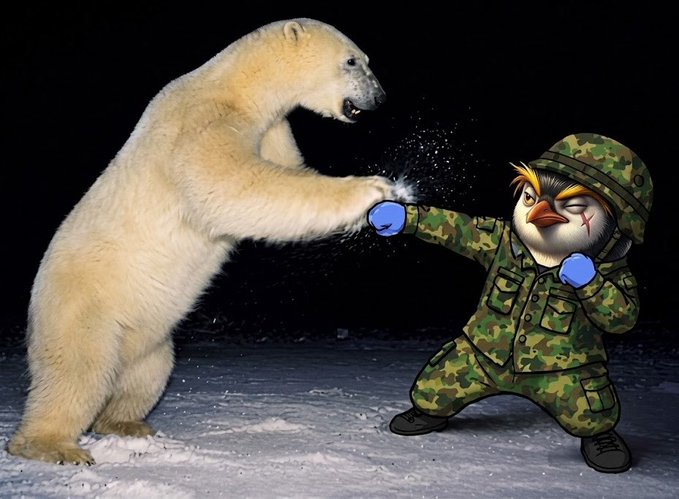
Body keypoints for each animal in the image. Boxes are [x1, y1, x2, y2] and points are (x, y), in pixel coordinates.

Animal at [8, 18, 411, 465]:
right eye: (353, 60)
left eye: (366, 59)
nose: (380, 97)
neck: (238, 87)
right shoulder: (200, 124)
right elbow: (235, 186)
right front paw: (375, 191)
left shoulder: (271, 129)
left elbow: (288, 170)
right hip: (83, 308)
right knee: (77, 373)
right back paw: (53, 445)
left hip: (147, 340)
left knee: (146, 375)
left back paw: (127, 424)